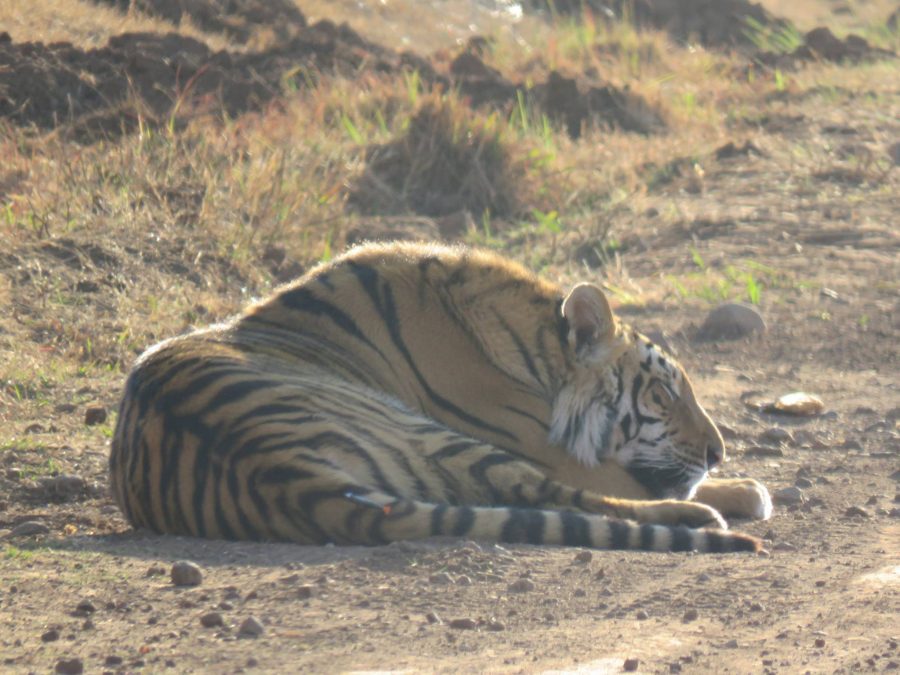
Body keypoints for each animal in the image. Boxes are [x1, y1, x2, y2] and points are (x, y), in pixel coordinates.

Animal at [110, 241, 772, 554]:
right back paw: (703, 519)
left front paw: (739, 483)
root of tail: (281, 475)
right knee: (575, 500)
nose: (717, 453)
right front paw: (739, 487)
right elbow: (632, 481)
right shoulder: (542, 446)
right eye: (661, 393)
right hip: (440, 438)